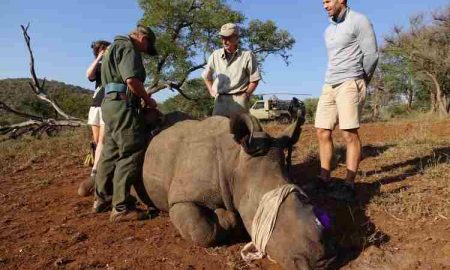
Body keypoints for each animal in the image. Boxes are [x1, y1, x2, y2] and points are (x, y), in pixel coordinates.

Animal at [139, 110, 336, 268]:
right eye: (260, 211)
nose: (324, 262)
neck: (233, 164)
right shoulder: (182, 198)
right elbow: (201, 229)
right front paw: (228, 218)